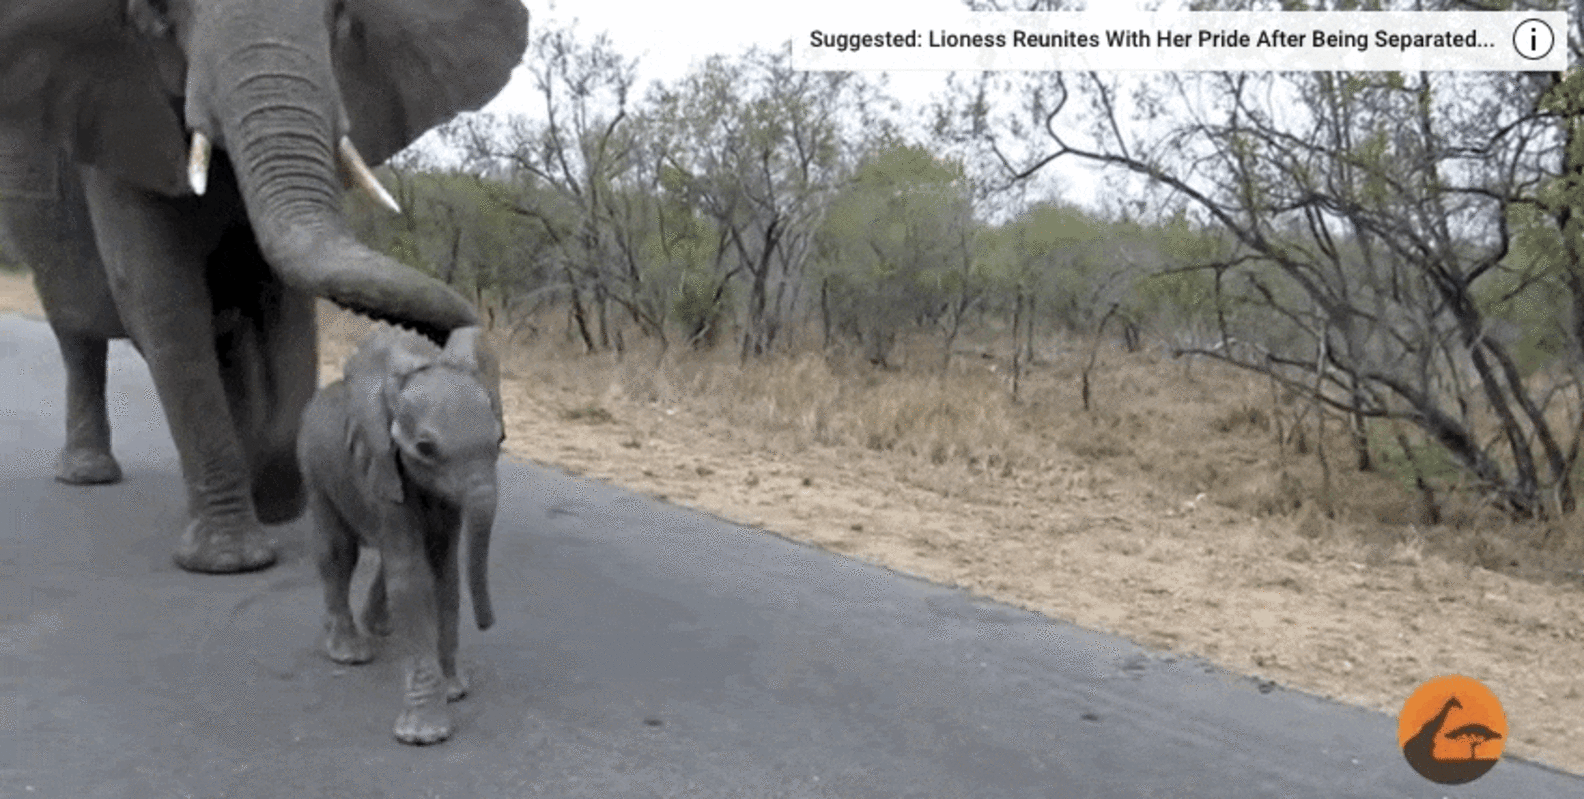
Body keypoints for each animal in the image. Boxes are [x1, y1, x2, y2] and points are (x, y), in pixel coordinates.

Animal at [0, 0, 528, 573]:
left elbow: (283, 311)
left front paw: (276, 505)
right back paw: (89, 474)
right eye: (160, 15)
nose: (463, 357)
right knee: (79, 335)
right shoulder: (121, 129)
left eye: (341, 16)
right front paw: (230, 560)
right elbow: (163, 301)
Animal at [297, 324, 503, 745]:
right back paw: (348, 651)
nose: (487, 623)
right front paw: (425, 734)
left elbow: (443, 575)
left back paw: (378, 628)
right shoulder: (382, 470)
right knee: (337, 552)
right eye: (425, 448)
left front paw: (454, 691)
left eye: (500, 441)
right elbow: (411, 578)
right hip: (314, 468)